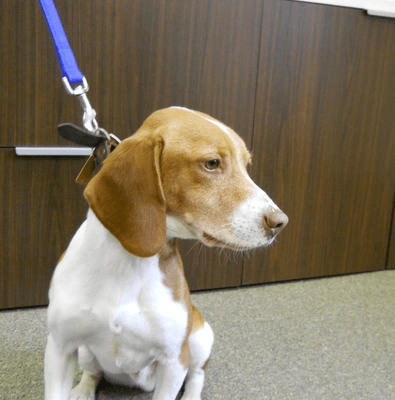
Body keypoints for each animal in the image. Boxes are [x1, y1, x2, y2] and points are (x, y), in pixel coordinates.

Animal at [44, 107, 290, 400]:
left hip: (199, 338)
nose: (280, 222)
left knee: (197, 376)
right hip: (83, 351)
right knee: (93, 372)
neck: (129, 263)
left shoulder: (174, 360)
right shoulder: (60, 348)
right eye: (211, 163)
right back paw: (82, 390)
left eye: (247, 166)